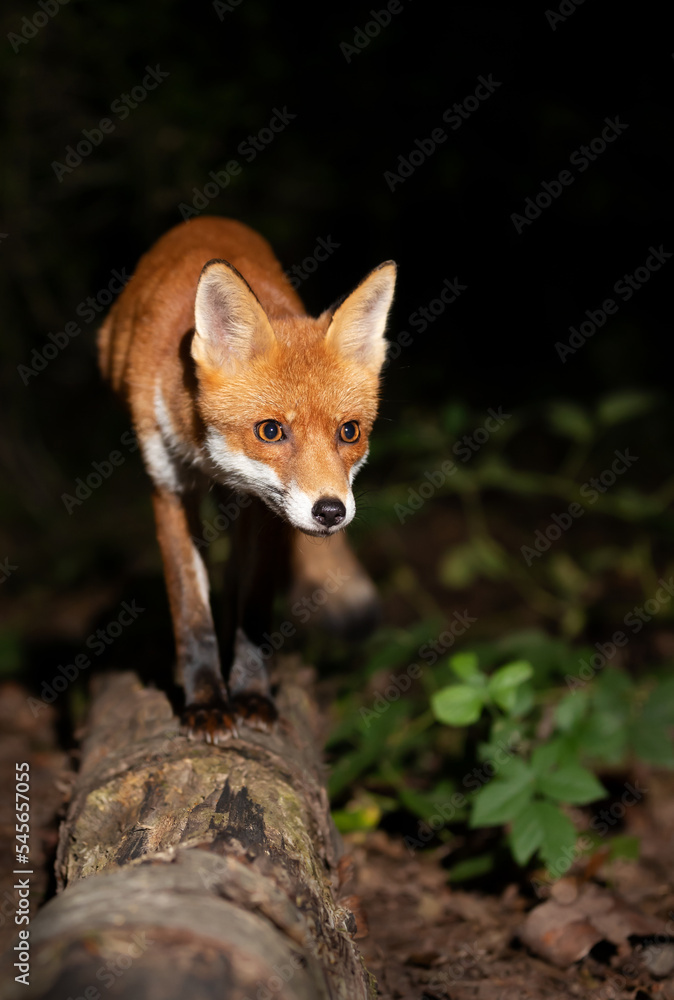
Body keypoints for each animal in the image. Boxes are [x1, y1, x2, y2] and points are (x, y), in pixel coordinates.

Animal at [98, 217, 396, 743]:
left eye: (349, 432)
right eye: (270, 431)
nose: (331, 511)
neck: (206, 454)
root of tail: (208, 220)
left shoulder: (264, 508)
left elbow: (254, 610)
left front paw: (253, 696)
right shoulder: (168, 488)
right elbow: (191, 612)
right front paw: (206, 704)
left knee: (235, 580)